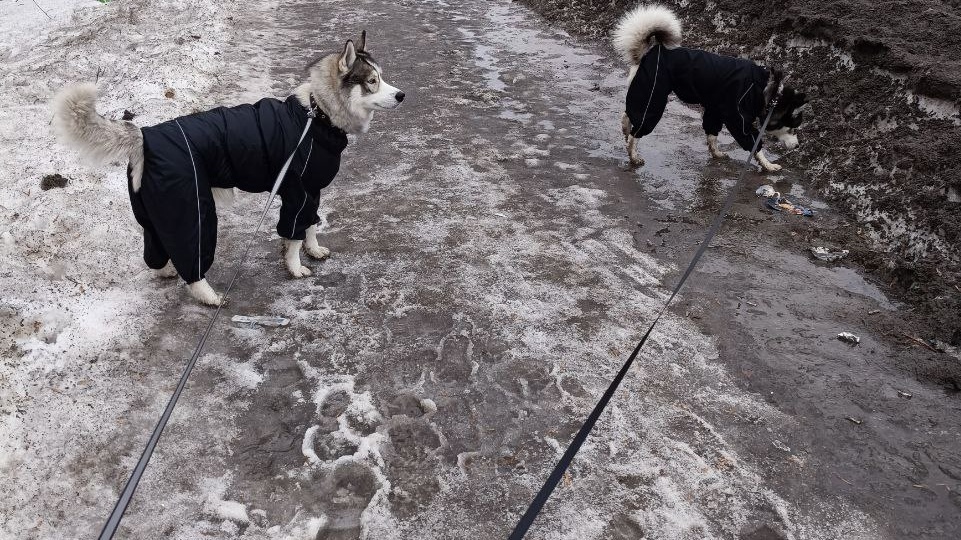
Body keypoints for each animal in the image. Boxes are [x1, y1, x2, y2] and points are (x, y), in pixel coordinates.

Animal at [50, 31, 404, 306]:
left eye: (382, 77)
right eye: (372, 81)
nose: (401, 95)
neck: (317, 115)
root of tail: (146, 136)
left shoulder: (312, 192)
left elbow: (310, 226)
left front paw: (313, 250)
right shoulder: (298, 194)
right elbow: (293, 237)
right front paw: (295, 267)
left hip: (154, 214)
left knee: (155, 252)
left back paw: (166, 270)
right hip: (191, 211)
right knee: (192, 261)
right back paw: (208, 296)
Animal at [612, 4, 808, 171]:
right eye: (792, 129)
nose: (798, 146)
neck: (769, 91)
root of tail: (647, 54)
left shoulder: (716, 109)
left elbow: (712, 134)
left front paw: (716, 153)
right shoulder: (737, 117)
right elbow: (753, 143)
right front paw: (767, 164)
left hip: (643, 92)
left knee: (628, 114)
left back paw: (625, 130)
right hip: (653, 95)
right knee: (638, 128)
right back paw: (633, 154)